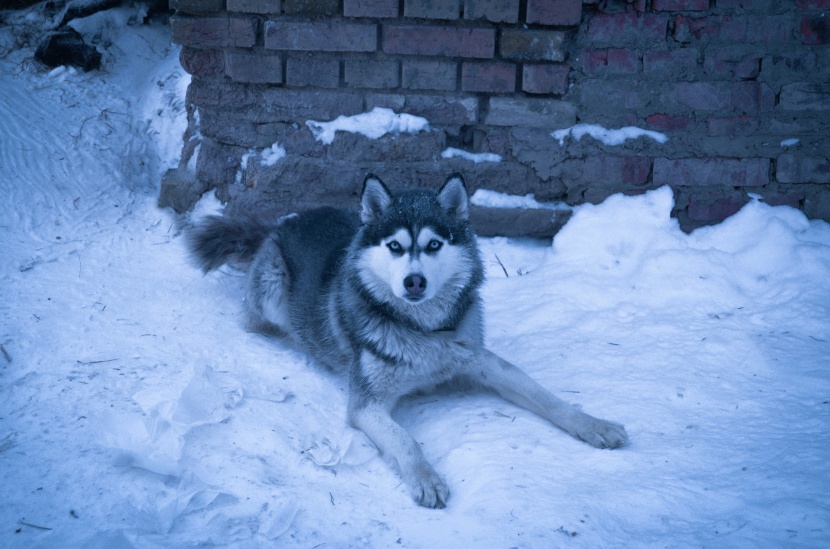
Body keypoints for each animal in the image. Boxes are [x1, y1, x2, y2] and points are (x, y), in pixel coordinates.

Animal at [190, 173, 632, 508]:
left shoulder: (480, 361)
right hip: (271, 293)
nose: (414, 281)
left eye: (434, 244)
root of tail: (284, 221)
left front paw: (593, 425)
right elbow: (406, 441)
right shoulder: (366, 405)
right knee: (254, 319)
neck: (422, 332)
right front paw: (426, 478)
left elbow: (543, 395)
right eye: (395, 247)